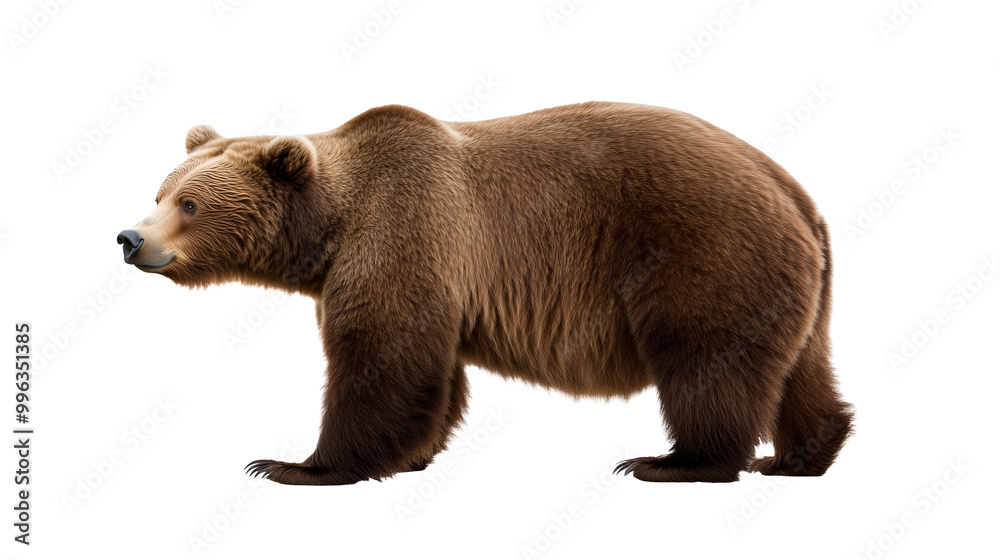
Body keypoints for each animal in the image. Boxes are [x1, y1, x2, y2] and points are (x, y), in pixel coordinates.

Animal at [117, 102, 854, 484]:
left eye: (188, 204)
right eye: (160, 191)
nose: (128, 238)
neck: (330, 227)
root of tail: (794, 191)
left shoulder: (403, 230)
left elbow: (378, 359)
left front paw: (291, 464)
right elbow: (435, 373)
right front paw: (414, 456)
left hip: (707, 252)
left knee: (706, 363)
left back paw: (673, 462)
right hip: (795, 285)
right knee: (802, 371)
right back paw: (798, 456)